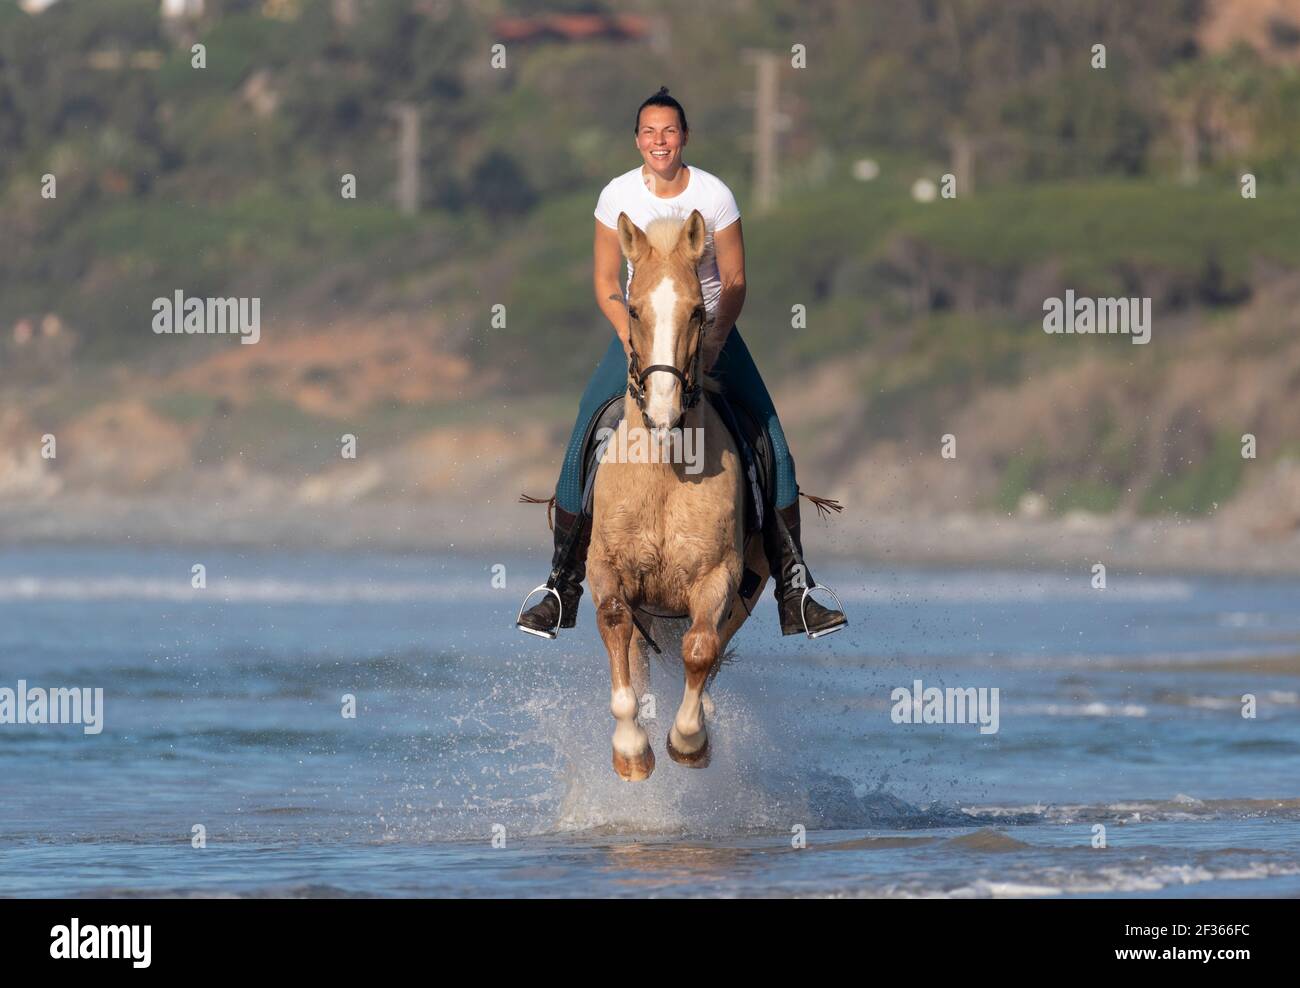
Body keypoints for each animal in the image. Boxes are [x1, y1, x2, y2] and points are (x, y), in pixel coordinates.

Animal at [587, 210, 764, 780]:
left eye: (697, 311)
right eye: (634, 309)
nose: (663, 411)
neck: (665, 470)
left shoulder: (718, 575)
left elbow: (700, 649)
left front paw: (688, 739)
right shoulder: (609, 568)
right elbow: (616, 629)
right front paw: (630, 749)